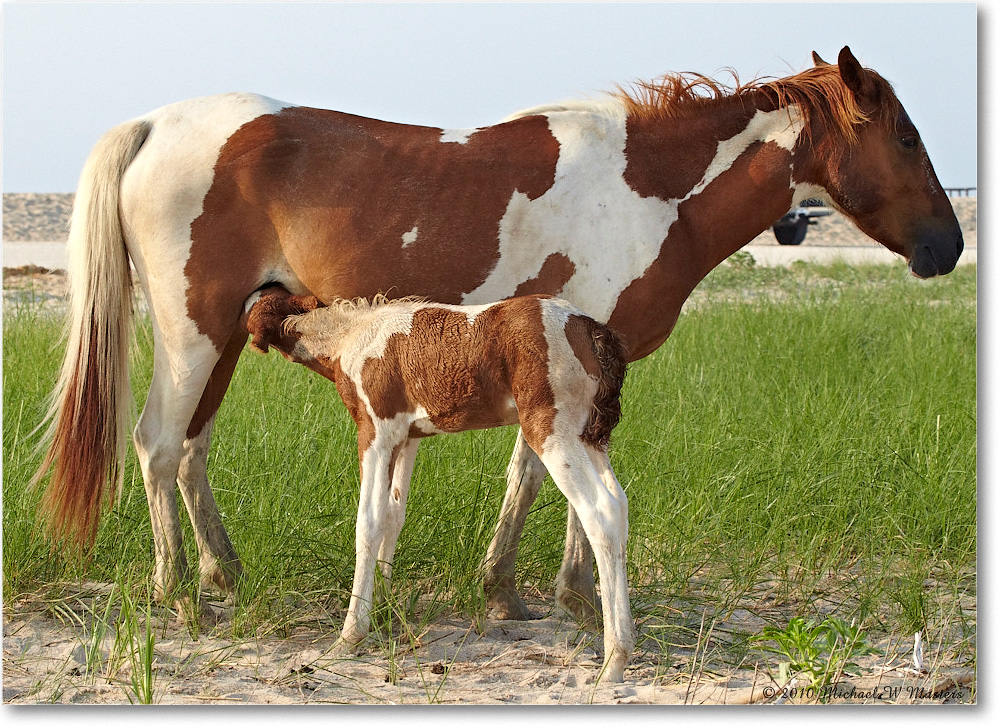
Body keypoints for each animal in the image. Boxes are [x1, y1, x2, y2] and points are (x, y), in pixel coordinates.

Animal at [37, 48, 960, 624]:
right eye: (907, 136)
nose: (947, 248)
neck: (648, 191)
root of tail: (154, 124)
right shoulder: (565, 360)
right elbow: (544, 475)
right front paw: (543, 591)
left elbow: (538, 473)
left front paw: (533, 590)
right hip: (192, 334)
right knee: (158, 444)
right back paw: (176, 593)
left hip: (224, 336)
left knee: (192, 447)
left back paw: (223, 573)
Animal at [242, 286, 632, 684]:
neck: (351, 337)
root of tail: (590, 328)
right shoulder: (406, 438)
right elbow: (393, 516)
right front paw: (384, 610)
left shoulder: (376, 431)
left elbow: (368, 524)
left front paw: (351, 634)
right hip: (589, 437)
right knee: (619, 504)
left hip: (552, 431)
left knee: (600, 513)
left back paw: (613, 659)